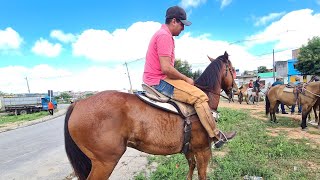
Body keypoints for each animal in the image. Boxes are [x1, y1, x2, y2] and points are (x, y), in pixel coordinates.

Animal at [63, 51, 238, 179]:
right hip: (105, 162)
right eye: (232, 69)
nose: (236, 90)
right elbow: (201, 174)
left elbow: (191, 167)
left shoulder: (189, 149)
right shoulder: (203, 150)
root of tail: (78, 103)